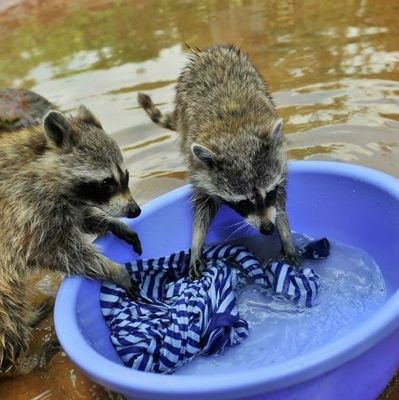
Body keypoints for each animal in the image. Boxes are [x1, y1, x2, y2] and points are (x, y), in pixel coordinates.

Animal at [0, 105, 143, 376]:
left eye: (127, 176)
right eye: (107, 182)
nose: (135, 210)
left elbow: (79, 217)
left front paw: (112, 224)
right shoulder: (23, 211)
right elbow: (59, 251)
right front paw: (113, 268)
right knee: (7, 317)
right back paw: (21, 361)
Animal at [140, 45, 300, 280]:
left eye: (268, 193)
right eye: (243, 203)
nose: (267, 229)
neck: (235, 135)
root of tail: (209, 51)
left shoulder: (279, 161)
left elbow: (280, 202)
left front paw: (284, 231)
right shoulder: (199, 169)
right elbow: (202, 209)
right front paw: (197, 241)